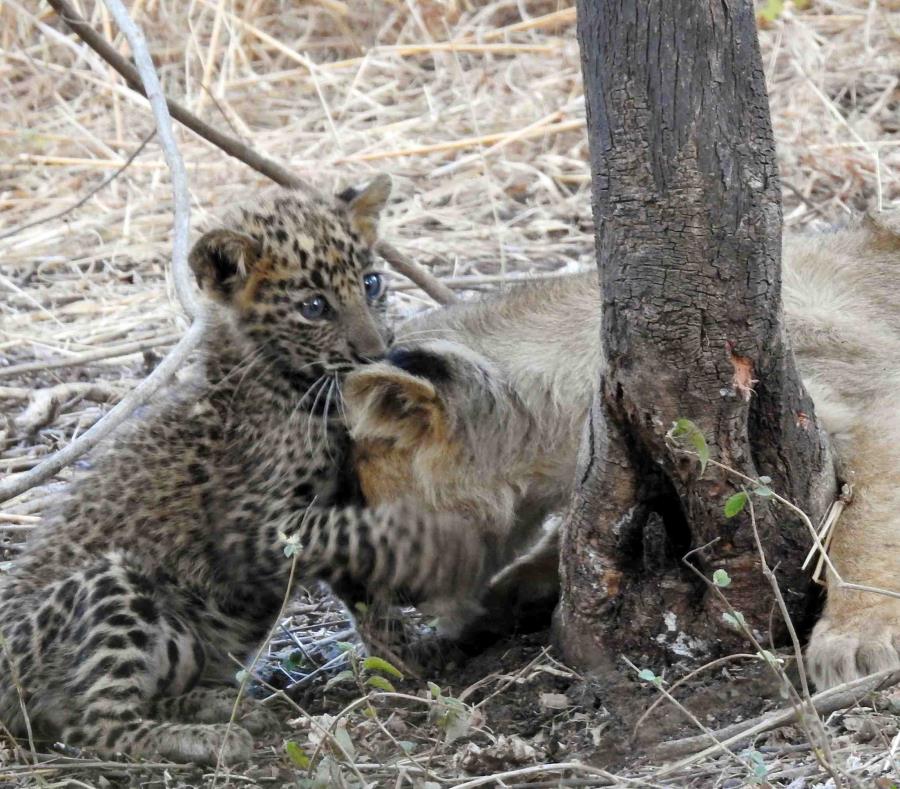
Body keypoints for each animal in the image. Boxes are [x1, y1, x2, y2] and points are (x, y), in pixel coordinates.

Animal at [0, 176, 487, 764]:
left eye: (371, 283)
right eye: (314, 307)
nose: (378, 352)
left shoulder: (338, 497)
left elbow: (365, 575)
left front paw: (404, 655)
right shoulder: (256, 527)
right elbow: (360, 532)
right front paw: (445, 540)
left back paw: (219, 707)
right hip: (109, 582)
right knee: (97, 725)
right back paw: (209, 738)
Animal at [344, 212, 900, 689]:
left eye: (370, 497)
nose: (378, 595)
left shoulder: (868, 397)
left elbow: (867, 526)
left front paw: (856, 639)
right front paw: (512, 591)